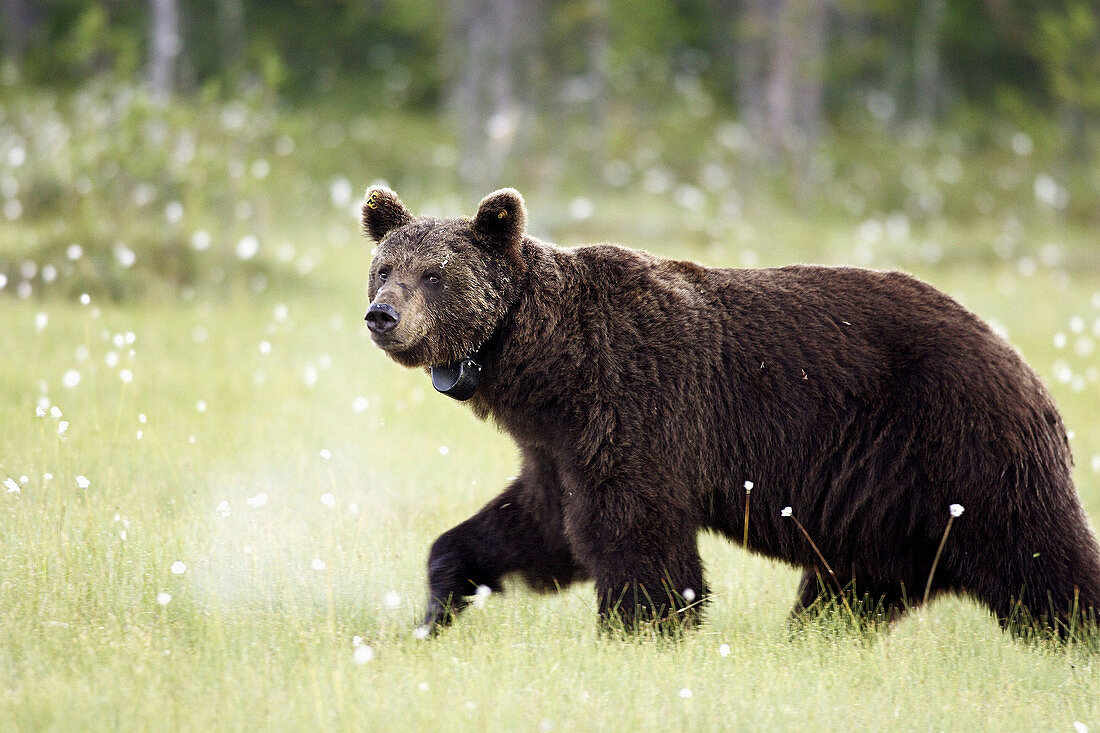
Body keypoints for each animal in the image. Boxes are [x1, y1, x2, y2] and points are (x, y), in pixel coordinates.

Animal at [360, 186, 1100, 638]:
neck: (544, 367)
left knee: (1043, 560)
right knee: (851, 590)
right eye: (384, 266)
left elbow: (636, 534)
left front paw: (642, 628)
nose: (381, 314)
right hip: (886, 508)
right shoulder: (557, 443)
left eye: (434, 274)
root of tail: (1027, 371)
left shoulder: (635, 402)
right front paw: (437, 605)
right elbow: (534, 526)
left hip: (961, 453)